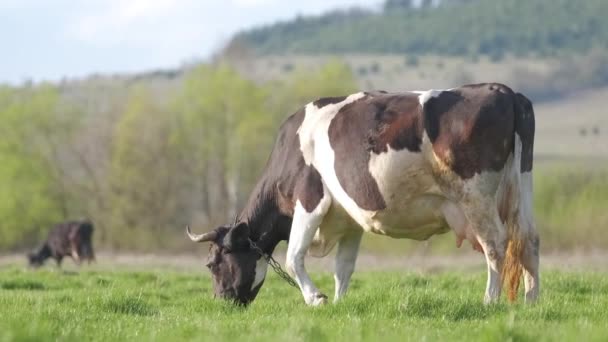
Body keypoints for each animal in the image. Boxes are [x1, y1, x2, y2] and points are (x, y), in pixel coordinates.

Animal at [188, 83, 540, 308]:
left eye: (212, 263)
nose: (221, 302)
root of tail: (504, 91)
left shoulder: (309, 199)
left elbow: (293, 257)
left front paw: (316, 299)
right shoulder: (349, 219)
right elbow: (343, 268)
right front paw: (339, 303)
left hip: (475, 196)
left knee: (495, 245)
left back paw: (489, 301)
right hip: (522, 187)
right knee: (529, 239)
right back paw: (531, 299)